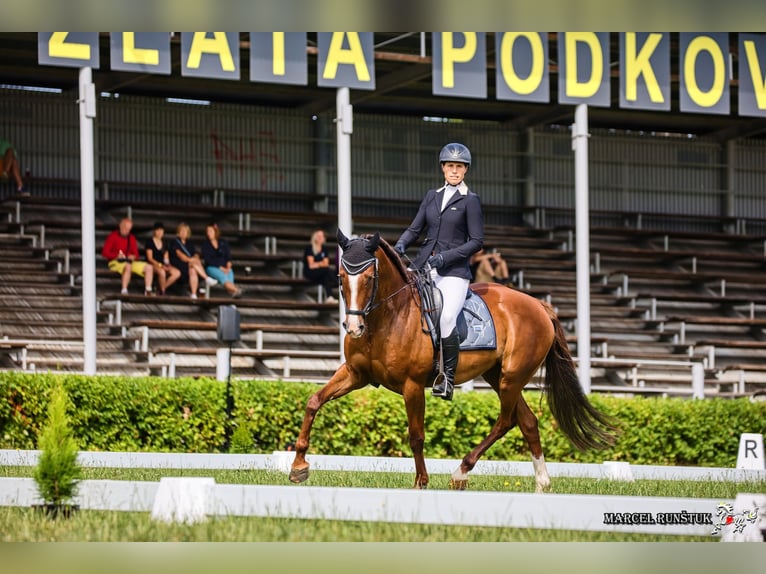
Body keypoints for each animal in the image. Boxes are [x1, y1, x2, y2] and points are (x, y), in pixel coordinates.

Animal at [289, 230, 618, 491]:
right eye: (341, 277)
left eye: (370, 278)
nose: (354, 328)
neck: (387, 317)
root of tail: (539, 305)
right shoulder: (355, 374)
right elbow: (313, 401)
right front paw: (298, 466)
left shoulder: (412, 385)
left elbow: (416, 435)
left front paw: (421, 482)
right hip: (497, 376)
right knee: (527, 421)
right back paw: (542, 483)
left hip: (511, 378)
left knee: (507, 420)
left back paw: (461, 472)